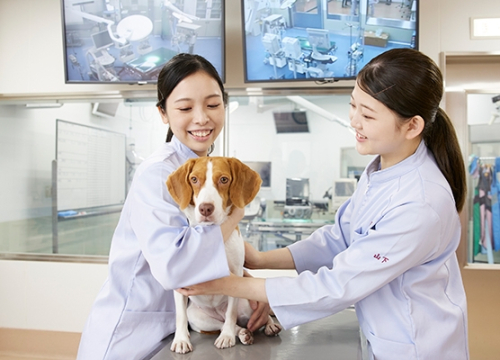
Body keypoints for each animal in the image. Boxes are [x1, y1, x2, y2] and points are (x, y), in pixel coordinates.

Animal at [167, 156, 282, 352]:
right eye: (194, 179)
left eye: (223, 179)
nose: (205, 208)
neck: (211, 232)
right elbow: (180, 316)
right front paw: (181, 339)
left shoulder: (235, 275)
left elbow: (231, 312)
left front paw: (227, 336)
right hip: (198, 318)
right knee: (223, 325)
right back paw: (242, 333)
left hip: (247, 302)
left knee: (253, 315)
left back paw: (268, 326)